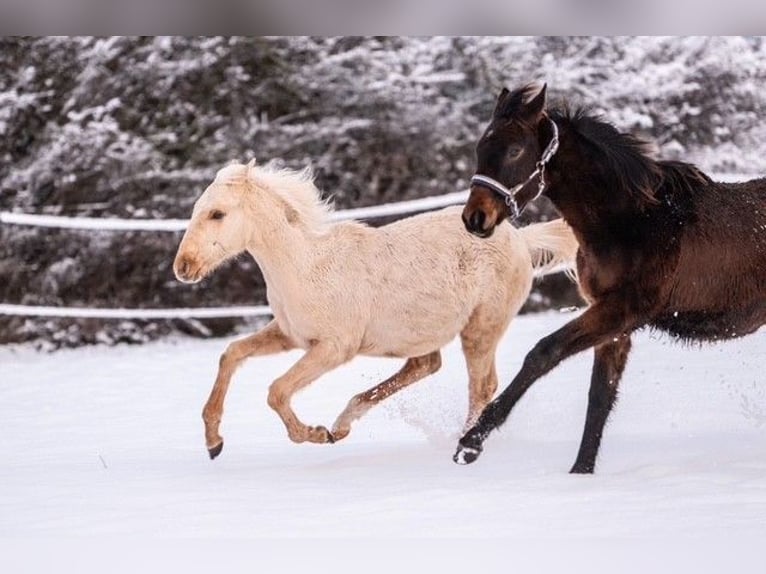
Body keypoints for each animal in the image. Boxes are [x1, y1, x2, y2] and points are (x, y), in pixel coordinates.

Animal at [171, 160, 572, 462]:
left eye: (217, 214)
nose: (183, 267)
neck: (304, 266)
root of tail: (521, 239)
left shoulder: (334, 348)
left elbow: (277, 391)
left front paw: (314, 434)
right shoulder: (289, 335)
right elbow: (231, 354)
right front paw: (213, 442)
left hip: (481, 329)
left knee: (481, 386)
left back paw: (464, 445)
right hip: (420, 333)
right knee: (425, 366)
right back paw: (344, 423)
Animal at [456, 83, 766, 474]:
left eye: (515, 150)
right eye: (481, 147)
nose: (475, 218)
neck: (632, 220)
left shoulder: (621, 310)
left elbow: (543, 353)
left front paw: (471, 443)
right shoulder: (615, 325)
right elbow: (600, 395)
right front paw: (581, 473)